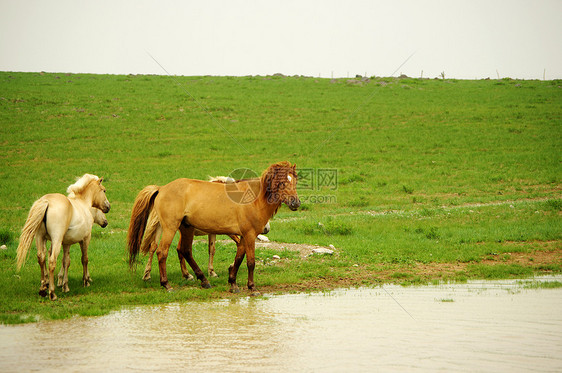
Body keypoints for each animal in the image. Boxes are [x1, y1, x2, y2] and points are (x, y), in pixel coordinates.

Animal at [129, 161, 300, 294]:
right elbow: (250, 262)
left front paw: (233, 283)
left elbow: (238, 258)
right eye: (282, 183)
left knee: (185, 251)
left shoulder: (243, 235)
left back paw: (203, 280)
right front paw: (252, 288)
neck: (254, 198)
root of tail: (161, 188)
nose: (295, 203)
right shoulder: (249, 235)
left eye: (295, 182)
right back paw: (166, 285)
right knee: (161, 252)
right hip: (170, 228)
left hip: (186, 228)